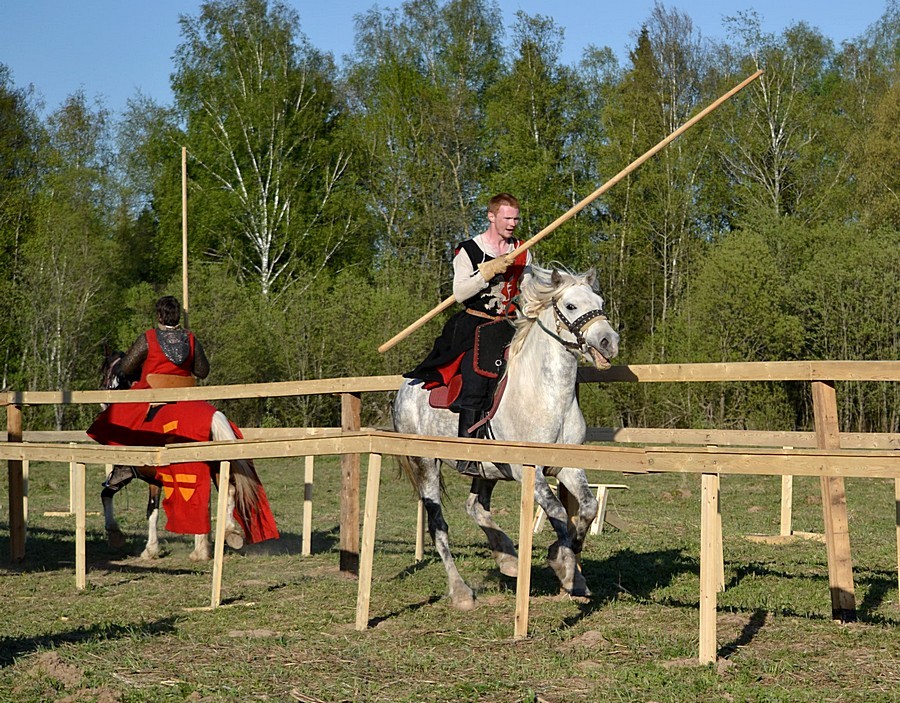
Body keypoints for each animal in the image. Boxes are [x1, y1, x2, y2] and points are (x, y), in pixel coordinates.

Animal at [394, 266, 620, 608]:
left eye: (600, 302)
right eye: (570, 306)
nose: (609, 341)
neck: (547, 395)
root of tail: (405, 388)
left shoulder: (568, 466)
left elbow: (589, 507)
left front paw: (573, 575)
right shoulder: (529, 470)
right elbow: (557, 511)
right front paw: (564, 565)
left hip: (485, 470)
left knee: (475, 506)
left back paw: (508, 558)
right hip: (426, 463)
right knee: (438, 526)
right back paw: (461, 591)